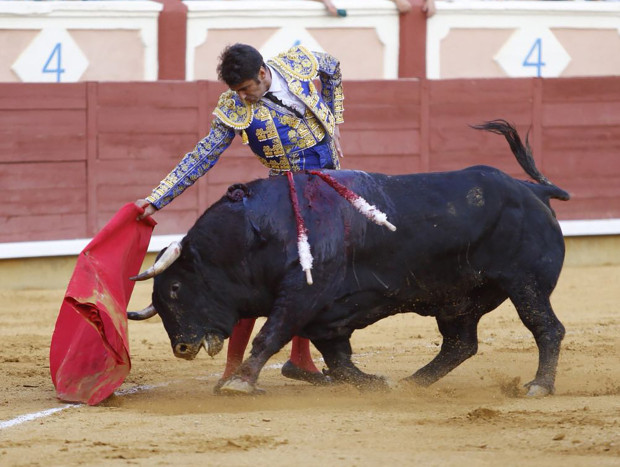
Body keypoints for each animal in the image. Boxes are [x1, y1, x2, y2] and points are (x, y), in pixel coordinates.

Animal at [131, 119, 572, 396]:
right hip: (457, 298)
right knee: (460, 344)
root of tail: (532, 191)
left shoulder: (300, 296)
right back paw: (410, 384)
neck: (255, 233)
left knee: (546, 328)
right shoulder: (326, 316)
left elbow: (270, 334)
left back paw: (539, 386)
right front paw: (375, 383)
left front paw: (242, 382)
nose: (181, 348)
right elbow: (339, 360)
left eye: (174, 288)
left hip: (525, 284)